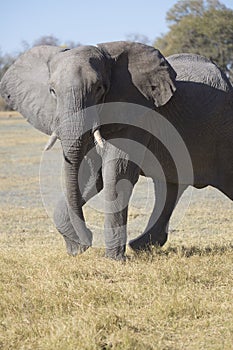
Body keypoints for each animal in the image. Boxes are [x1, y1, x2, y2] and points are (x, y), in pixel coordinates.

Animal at [0, 41, 233, 260]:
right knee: (169, 185)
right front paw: (77, 247)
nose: (87, 239)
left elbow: (116, 174)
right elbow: (91, 176)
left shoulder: (135, 115)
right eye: (52, 92)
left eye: (99, 89)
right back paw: (140, 246)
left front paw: (113, 259)